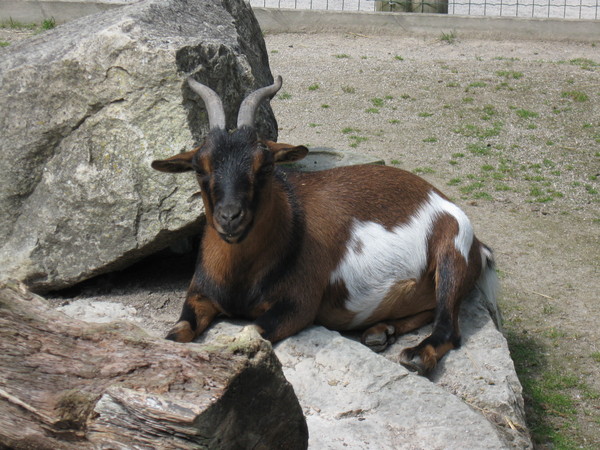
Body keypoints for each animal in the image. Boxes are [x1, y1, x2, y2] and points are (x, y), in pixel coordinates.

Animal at [151, 75, 496, 374]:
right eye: (199, 167)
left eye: (265, 166)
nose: (230, 217)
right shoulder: (199, 294)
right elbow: (175, 333)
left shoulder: (297, 306)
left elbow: (251, 329)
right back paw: (379, 331)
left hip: (452, 250)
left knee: (449, 326)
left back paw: (416, 355)